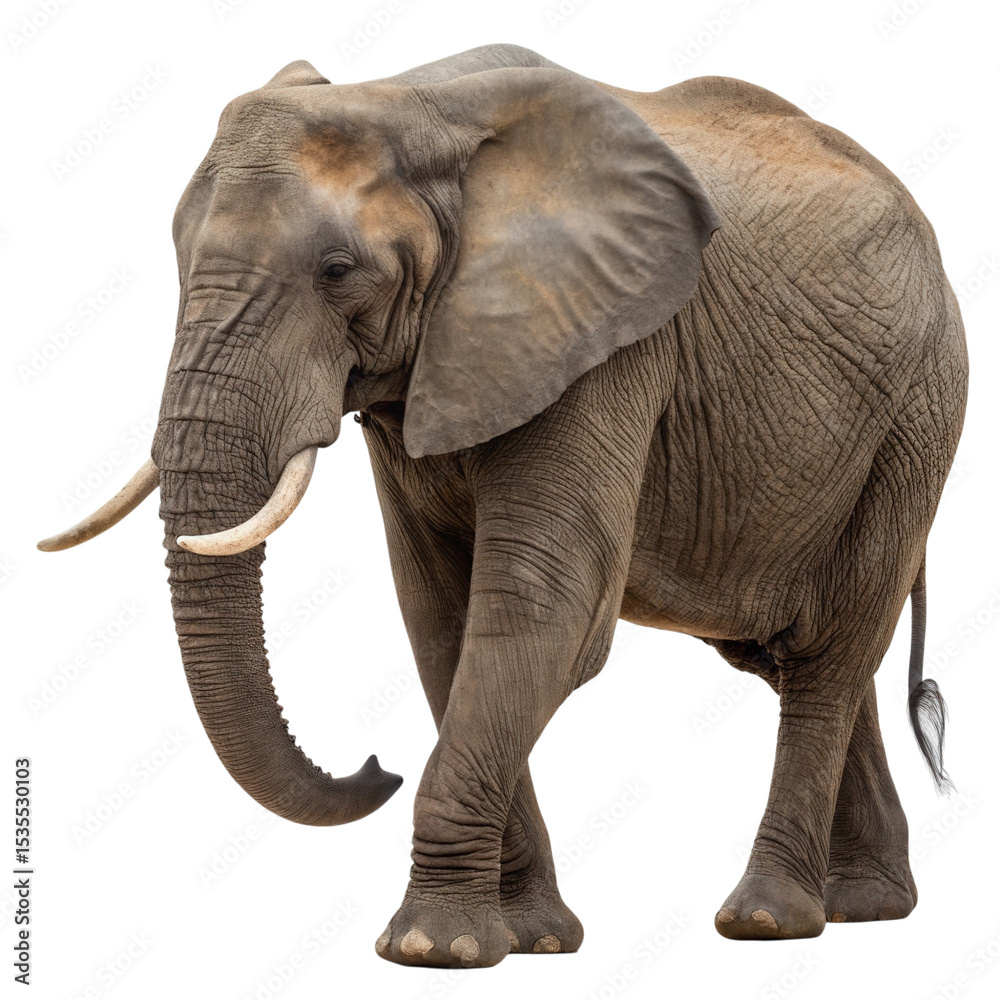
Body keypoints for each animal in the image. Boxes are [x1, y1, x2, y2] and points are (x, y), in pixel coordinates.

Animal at [39, 43, 967, 968]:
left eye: (338, 272)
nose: (376, 768)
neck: (414, 105)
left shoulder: (609, 343)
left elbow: (540, 605)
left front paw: (429, 948)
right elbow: (442, 620)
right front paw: (532, 938)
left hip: (917, 416)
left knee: (832, 649)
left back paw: (768, 918)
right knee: (797, 651)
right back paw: (865, 906)